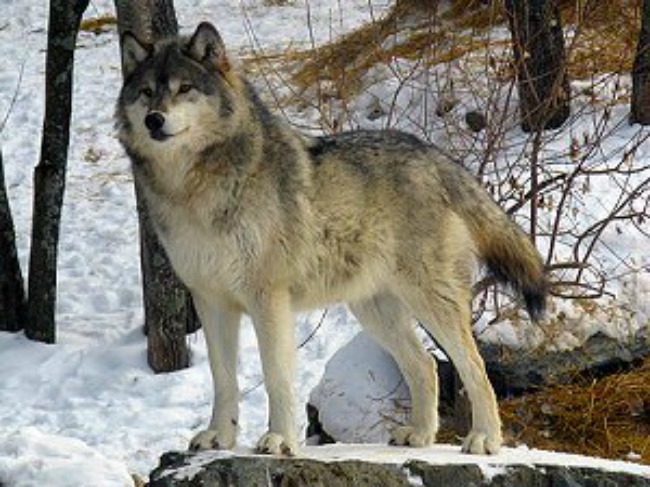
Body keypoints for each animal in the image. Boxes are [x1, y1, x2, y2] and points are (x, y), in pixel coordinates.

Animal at [116, 22, 547, 456]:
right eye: (147, 92)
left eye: (185, 88)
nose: (154, 120)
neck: (193, 189)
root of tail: (434, 155)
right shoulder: (211, 300)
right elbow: (223, 379)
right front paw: (219, 436)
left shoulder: (267, 298)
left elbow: (276, 376)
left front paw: (279, 439)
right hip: (375, 311)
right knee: (425, 364)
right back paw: (419, 436)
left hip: (429, 301)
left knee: (474, 368)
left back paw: (484, 440)